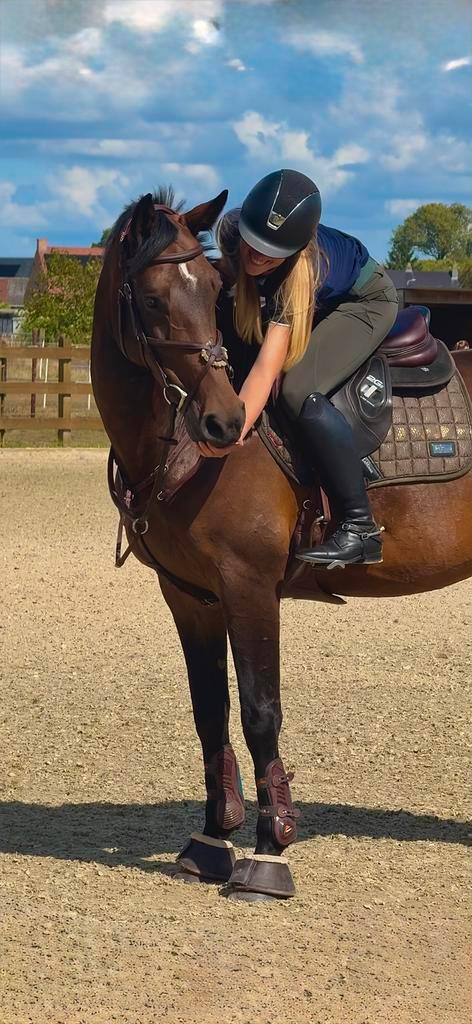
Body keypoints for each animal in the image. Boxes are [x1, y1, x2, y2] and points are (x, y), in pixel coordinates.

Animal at [91, 188, 472, 901]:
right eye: (152, 300)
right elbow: (210, 712)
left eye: (212, 289)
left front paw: (269, 852)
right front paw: (213, 839)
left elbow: (260, 712)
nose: (225, 421)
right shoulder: (191, 597)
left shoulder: (249, 586)